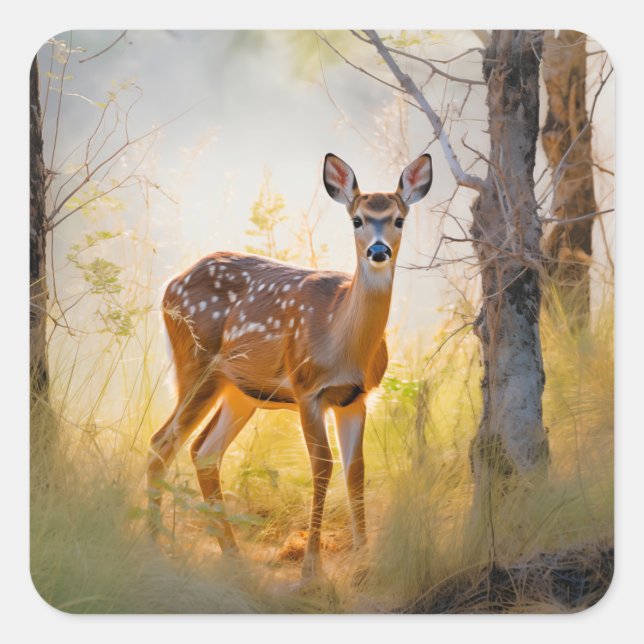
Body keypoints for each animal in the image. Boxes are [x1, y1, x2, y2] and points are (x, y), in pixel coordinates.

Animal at [147, 153, 433, 578]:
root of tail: (170, 285)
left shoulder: (356, 397)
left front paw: (365, 561)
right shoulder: (307, 388)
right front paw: (311, 568)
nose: (379, 251)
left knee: (204, 450)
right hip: (195, 365)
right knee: (161, 443)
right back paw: (152, 546)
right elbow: (323, 467)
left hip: (240, 390)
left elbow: (356, 470)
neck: (341, 339)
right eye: (357, 219)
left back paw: (232, 555)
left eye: (399, 219)